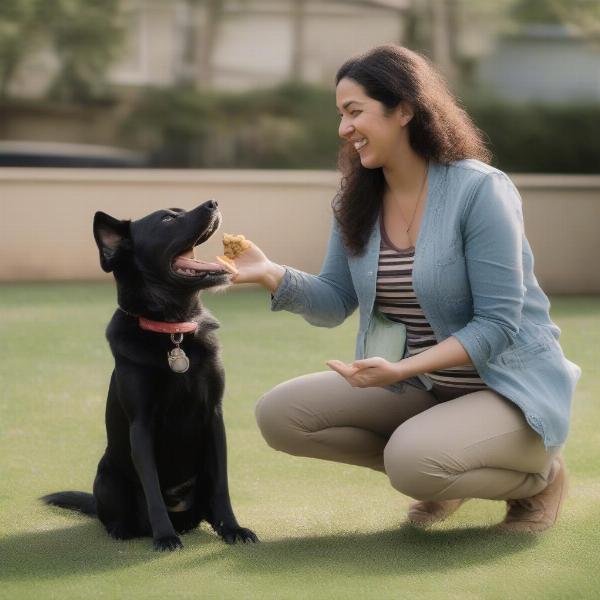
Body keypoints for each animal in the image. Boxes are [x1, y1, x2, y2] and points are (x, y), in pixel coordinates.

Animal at [41, 199, 258, 552]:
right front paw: (165, 536)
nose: (213, 202)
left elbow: (222, 487)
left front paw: (233, 529)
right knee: (115, 516)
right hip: (108, 478)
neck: (174, 331)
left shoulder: (214, 417)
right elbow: (153, 490)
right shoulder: (141, 425)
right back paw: (125, 529)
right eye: (167, 220)